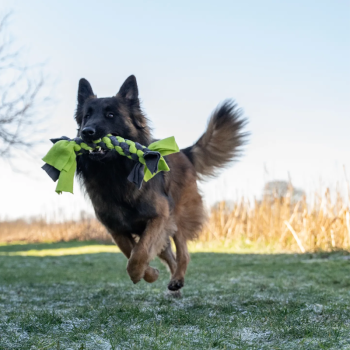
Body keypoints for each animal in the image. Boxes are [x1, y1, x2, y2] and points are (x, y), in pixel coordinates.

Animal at [75, 75, 247, 292]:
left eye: (110, 115)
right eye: (86, 116)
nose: (86, 132)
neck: (116, 173)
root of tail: (184, 153)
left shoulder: (159, 217)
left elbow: (139, 254)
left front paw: (143, 273)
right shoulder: (117, 228)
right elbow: (132, 253)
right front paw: (150, 274)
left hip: (177, 219)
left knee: (183, 254)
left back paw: (178, 279)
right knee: (171, 257)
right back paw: (174, 282)